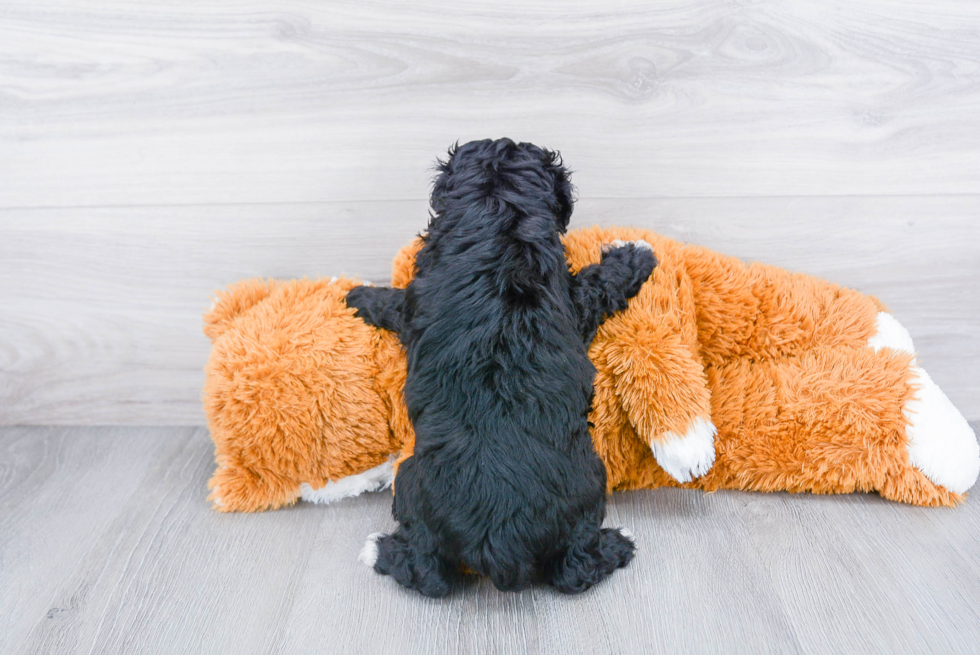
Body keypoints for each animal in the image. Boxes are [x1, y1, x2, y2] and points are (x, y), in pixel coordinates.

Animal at [346, 140, 660, 600]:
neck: (498, 219)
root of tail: (499, 543)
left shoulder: (416, 301)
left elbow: (394, 302)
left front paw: (357, 295)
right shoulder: (572, 301)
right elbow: (598, 284)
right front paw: (637, 253)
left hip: (412, 484)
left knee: (431, 572)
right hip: (588, 487)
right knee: (572, 568)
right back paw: (620, 543)